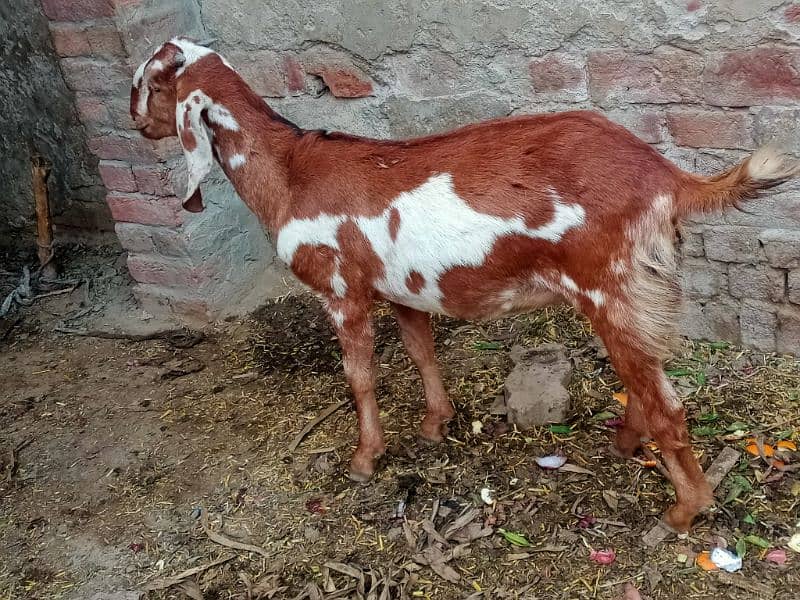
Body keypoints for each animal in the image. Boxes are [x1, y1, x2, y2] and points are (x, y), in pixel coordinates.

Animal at [131, 37, 800, 532]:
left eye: (150, 83)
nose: (135, 122)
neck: (290, 173)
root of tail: (666, 175)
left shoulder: (341, 291)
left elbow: (360, 377)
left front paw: (365, 458)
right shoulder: (402, 290)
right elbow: (422, 353)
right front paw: (436, 424)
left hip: (610, 286)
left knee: (668, 401)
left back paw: (686, 510)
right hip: (640, 287)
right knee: (647, 376)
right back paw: (626, 445)